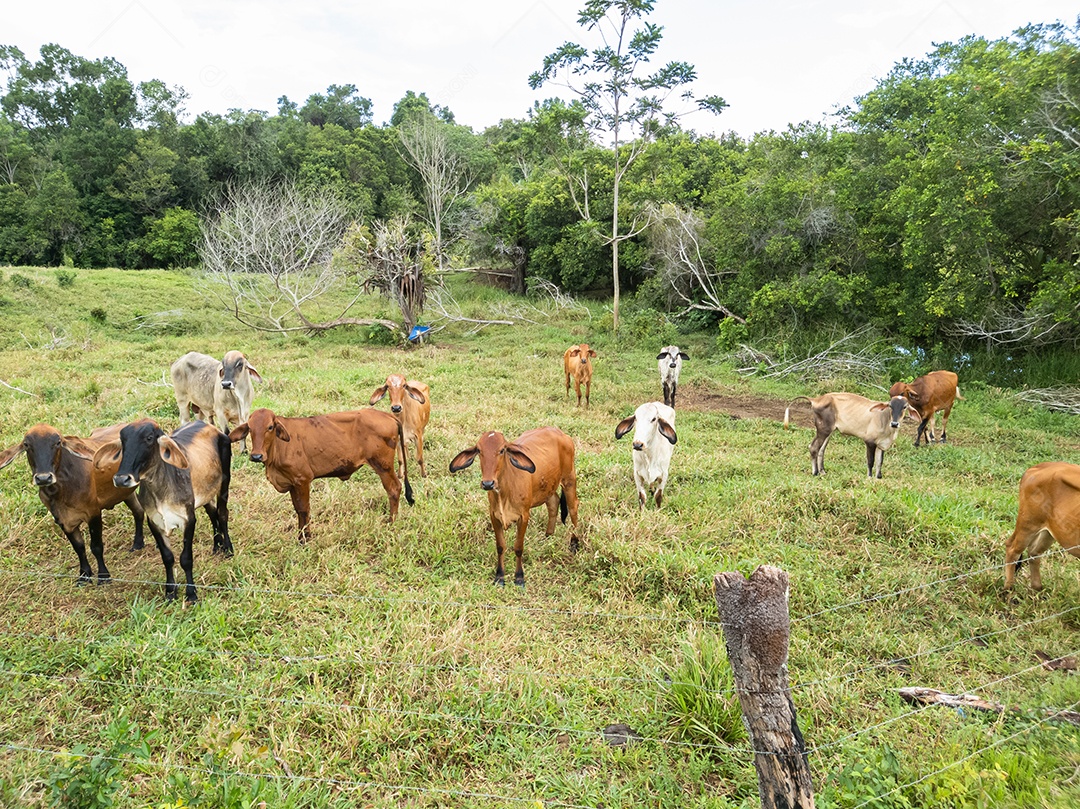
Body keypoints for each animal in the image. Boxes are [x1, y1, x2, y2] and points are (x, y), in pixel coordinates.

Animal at [0, 419, 145, 583]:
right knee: (138, 511)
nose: (43, 478)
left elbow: (96, 546)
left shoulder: (93, 513)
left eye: (58, 442)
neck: (61, 492)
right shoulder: (62, 520)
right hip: (126, 493)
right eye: (26, 444)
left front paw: (103, 576)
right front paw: (84, 574)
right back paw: (137, 544)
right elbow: (79, 547)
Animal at [96, 419, 233, 604]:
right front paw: (170, 592)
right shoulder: (154, 521)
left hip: (224, 484)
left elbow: (186, 559)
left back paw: (228, 548)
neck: (160, 488)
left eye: (149, 438)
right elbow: (167, 558)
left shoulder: (188, 519)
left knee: (223, 514)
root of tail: (210, 426)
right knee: (213, 513)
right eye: (123, 440)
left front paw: (191, 594)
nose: (121, 479)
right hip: (205, 492)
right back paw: (217, 545)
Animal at [447, 425, 583, 583]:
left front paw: (519, 577)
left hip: (569, 479)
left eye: (502, 450)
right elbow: (500, 546)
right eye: (479, 450)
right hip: (548, 486)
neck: (504, 492)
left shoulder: (523, 516)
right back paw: (548, 536)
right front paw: (500, 576)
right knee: (553, 503)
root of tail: (558, 431)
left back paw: (574, 544)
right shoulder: (494, 516)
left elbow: (518, 547)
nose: (488, 483)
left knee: (573, 507)